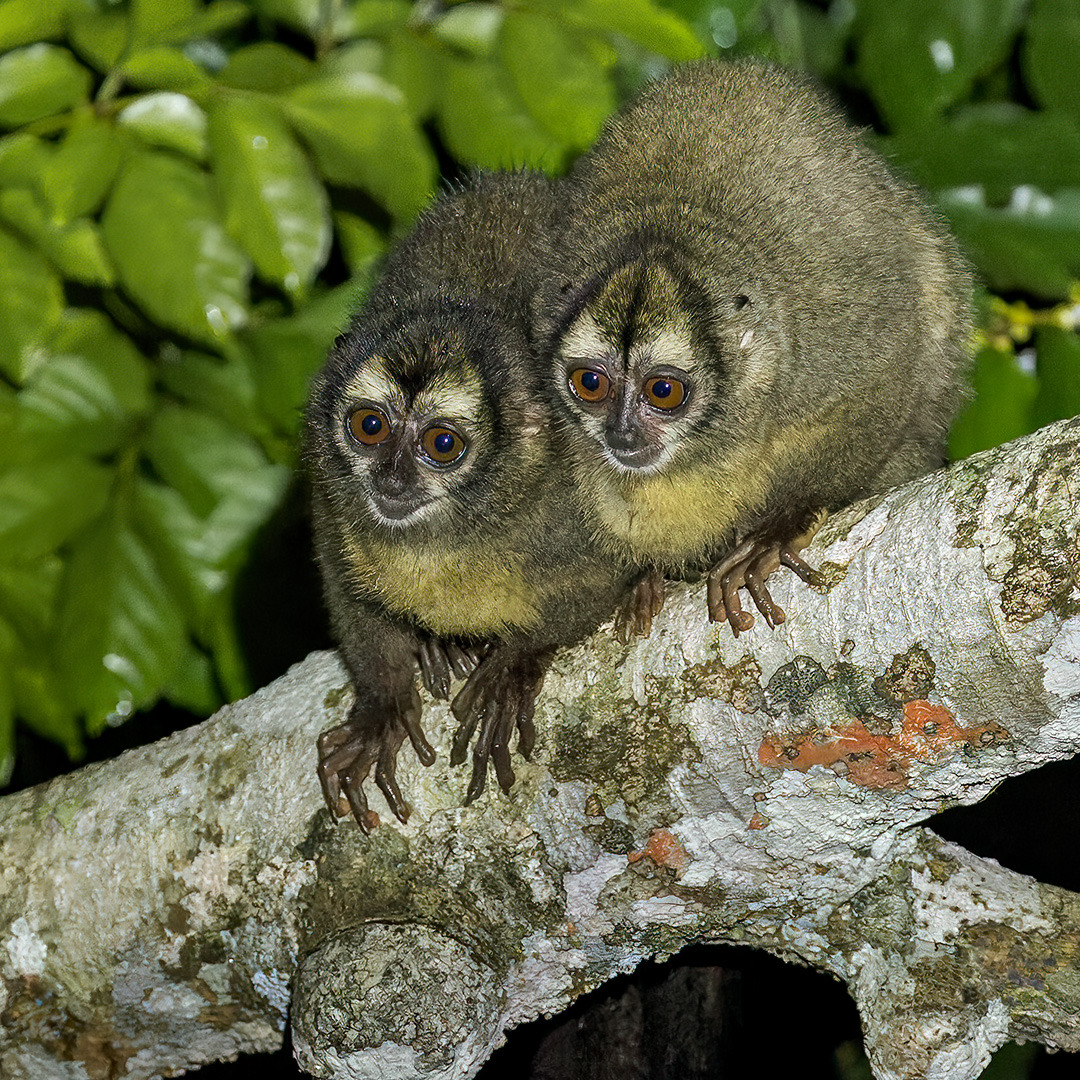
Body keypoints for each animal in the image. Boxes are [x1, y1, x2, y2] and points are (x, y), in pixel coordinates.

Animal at [304, 171, 638, 831]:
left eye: (441, 444)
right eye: (370, 427)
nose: (393, 480)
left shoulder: (576, 505)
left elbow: (599, 579)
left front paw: (512, 665)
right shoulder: (332, 499)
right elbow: (345, 583)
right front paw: (383, 707)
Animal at [534, 58, 973, 635]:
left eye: (663, 391)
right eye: (591, 383)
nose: (621, 434)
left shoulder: (828, 333)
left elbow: (888, 366)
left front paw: (782, 524)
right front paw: (645, 578)